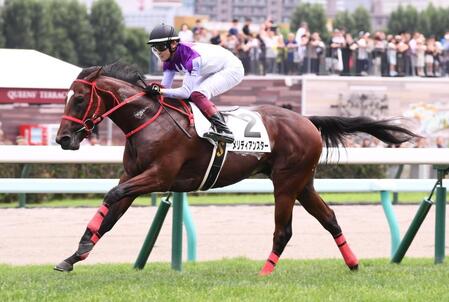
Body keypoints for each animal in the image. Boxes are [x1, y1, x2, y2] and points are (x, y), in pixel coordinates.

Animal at [55, 62, 416, 274]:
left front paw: (82, 247)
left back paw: (264, 273)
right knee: (329, 218)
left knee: (284, 230)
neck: (149, 121)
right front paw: (73, 256)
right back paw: (353, 263)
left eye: (79, 99)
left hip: (286, 183)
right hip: (303, 182)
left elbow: (111, 194)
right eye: (66, 97)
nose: (62, 139)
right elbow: (111, 214)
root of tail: (307, 120)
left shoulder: (158, 176)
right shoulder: (134, 176)